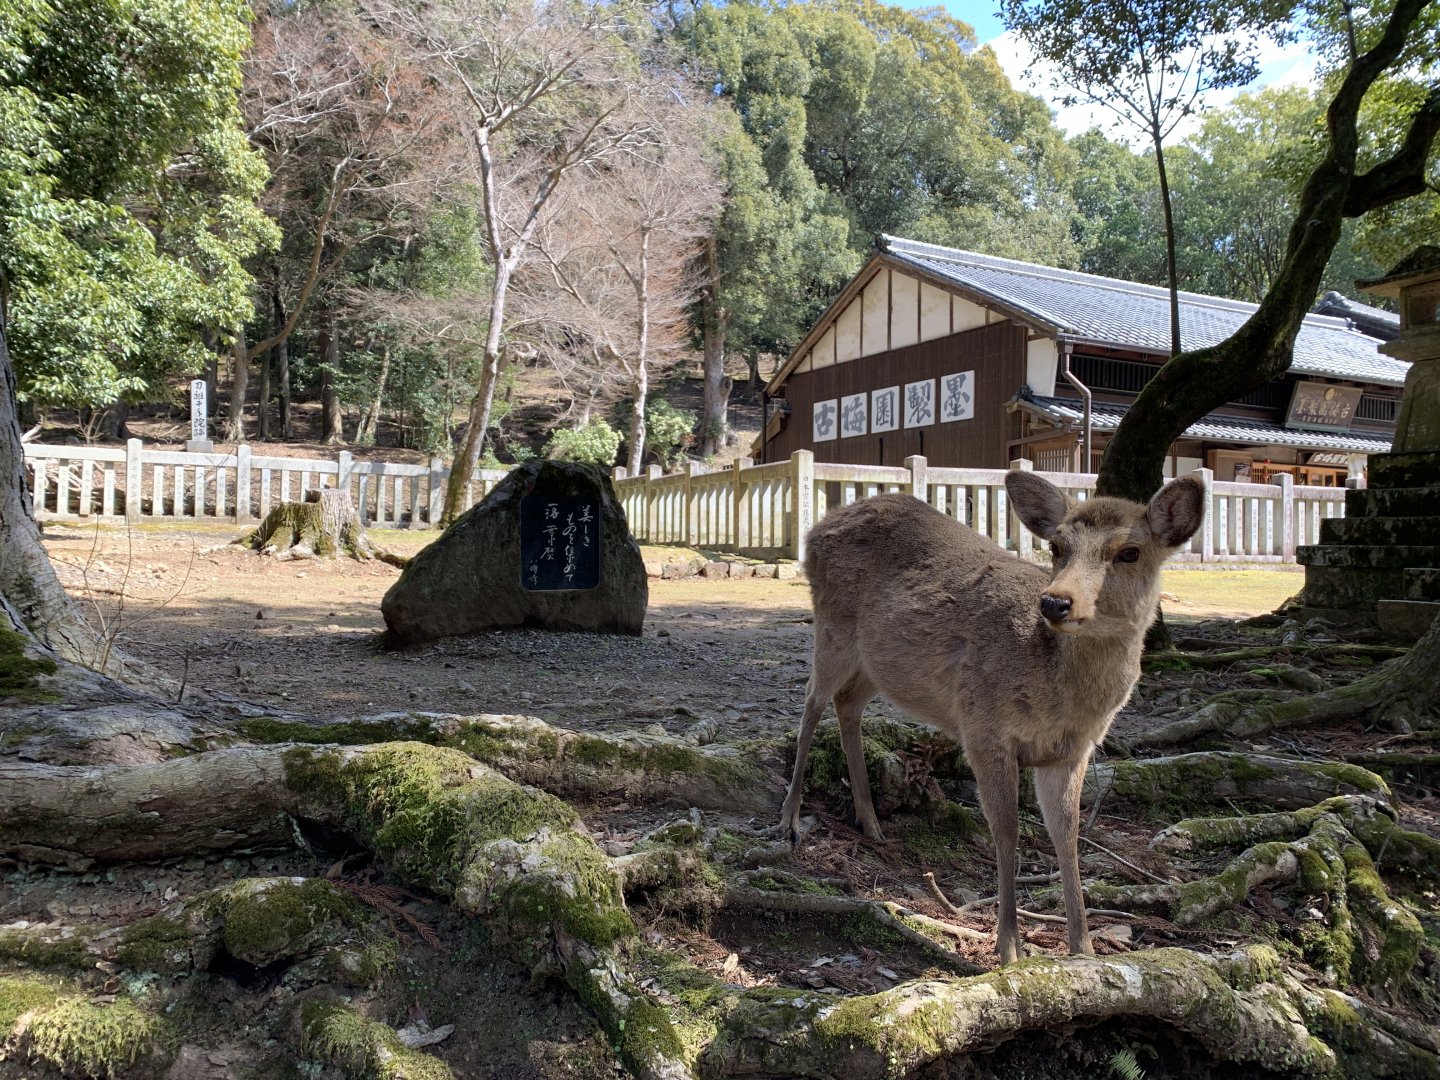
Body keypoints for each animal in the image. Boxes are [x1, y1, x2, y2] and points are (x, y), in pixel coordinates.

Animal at [780, 469, 1206, 963]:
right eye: (1057, 546)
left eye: (1130, 552)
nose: (1055, 602)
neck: (1061, 698)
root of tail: (816, 529)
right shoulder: (984, 728)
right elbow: (1006, 831)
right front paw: (1009, 950)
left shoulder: (1072, 751)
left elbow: (1068, 834)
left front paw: (1084, 950)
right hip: (833, 626)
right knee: (812, 699)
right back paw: (790, 820)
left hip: (877, 664)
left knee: (847, 702)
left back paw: (870, 820)